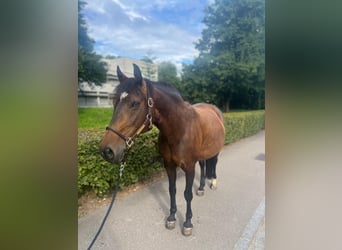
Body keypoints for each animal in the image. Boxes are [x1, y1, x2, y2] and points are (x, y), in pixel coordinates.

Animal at [99, 63, 226, 235]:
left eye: (134, 103)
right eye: (114, 101)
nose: (107, 151)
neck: (179, 128)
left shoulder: (189, 167)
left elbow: (187, 194)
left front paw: (187, 223)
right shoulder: (169, 165)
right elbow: (172, 190)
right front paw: (171, 218)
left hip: (215, 151)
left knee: (214, 163)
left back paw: (212, 182)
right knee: (203, 164)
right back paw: (200, 188)